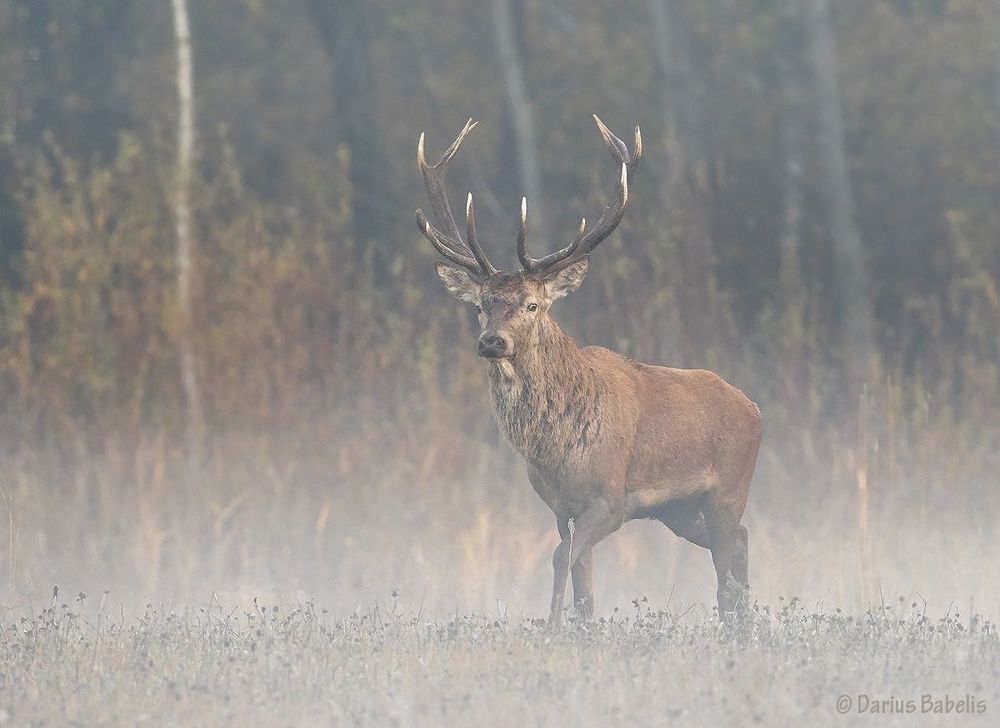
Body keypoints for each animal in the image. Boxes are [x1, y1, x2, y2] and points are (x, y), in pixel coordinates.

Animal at [415, 115, 762, 626]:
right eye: (480, 306)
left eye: (533, 304)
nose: (492, 342)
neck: (557, 446)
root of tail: (754, 408)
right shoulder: (562, 509)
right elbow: (582, 581)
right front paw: (575, 625)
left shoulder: (611, 499)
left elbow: (562, 559)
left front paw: (551, 624)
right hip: (677, 510)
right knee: (738, 542)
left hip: (729, 488)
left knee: (727, 554)